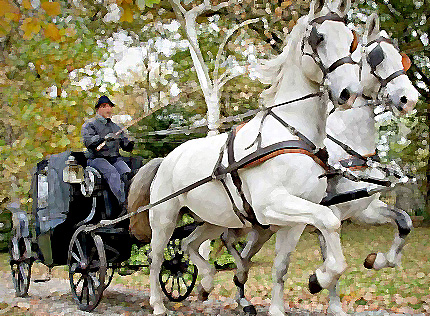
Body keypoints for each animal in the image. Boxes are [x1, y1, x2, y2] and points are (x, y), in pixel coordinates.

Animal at [146, 0, 362, 314]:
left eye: (352, 39)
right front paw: (319, 278)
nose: (349, 92)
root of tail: (167, 159)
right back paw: (158, 304)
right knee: (157, 257)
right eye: (318, 38)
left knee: (188, 244)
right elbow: (329, 221)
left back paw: (207, 282)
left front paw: (284, 303)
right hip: (164, 217)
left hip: (214, 219)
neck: (291, 132)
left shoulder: (295, 219)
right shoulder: (270, 204)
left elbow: (281, 266)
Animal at [222, 12, 420, 316]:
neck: (347, 145)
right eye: (376, 57)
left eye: (402, 59)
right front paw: (321, 285)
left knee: (244, 255)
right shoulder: (330, 212)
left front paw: (377, 260)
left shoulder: (362, 209)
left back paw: (243, 298)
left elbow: (404, 221)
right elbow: (332, 261)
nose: (409, 99)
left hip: (263, 227)